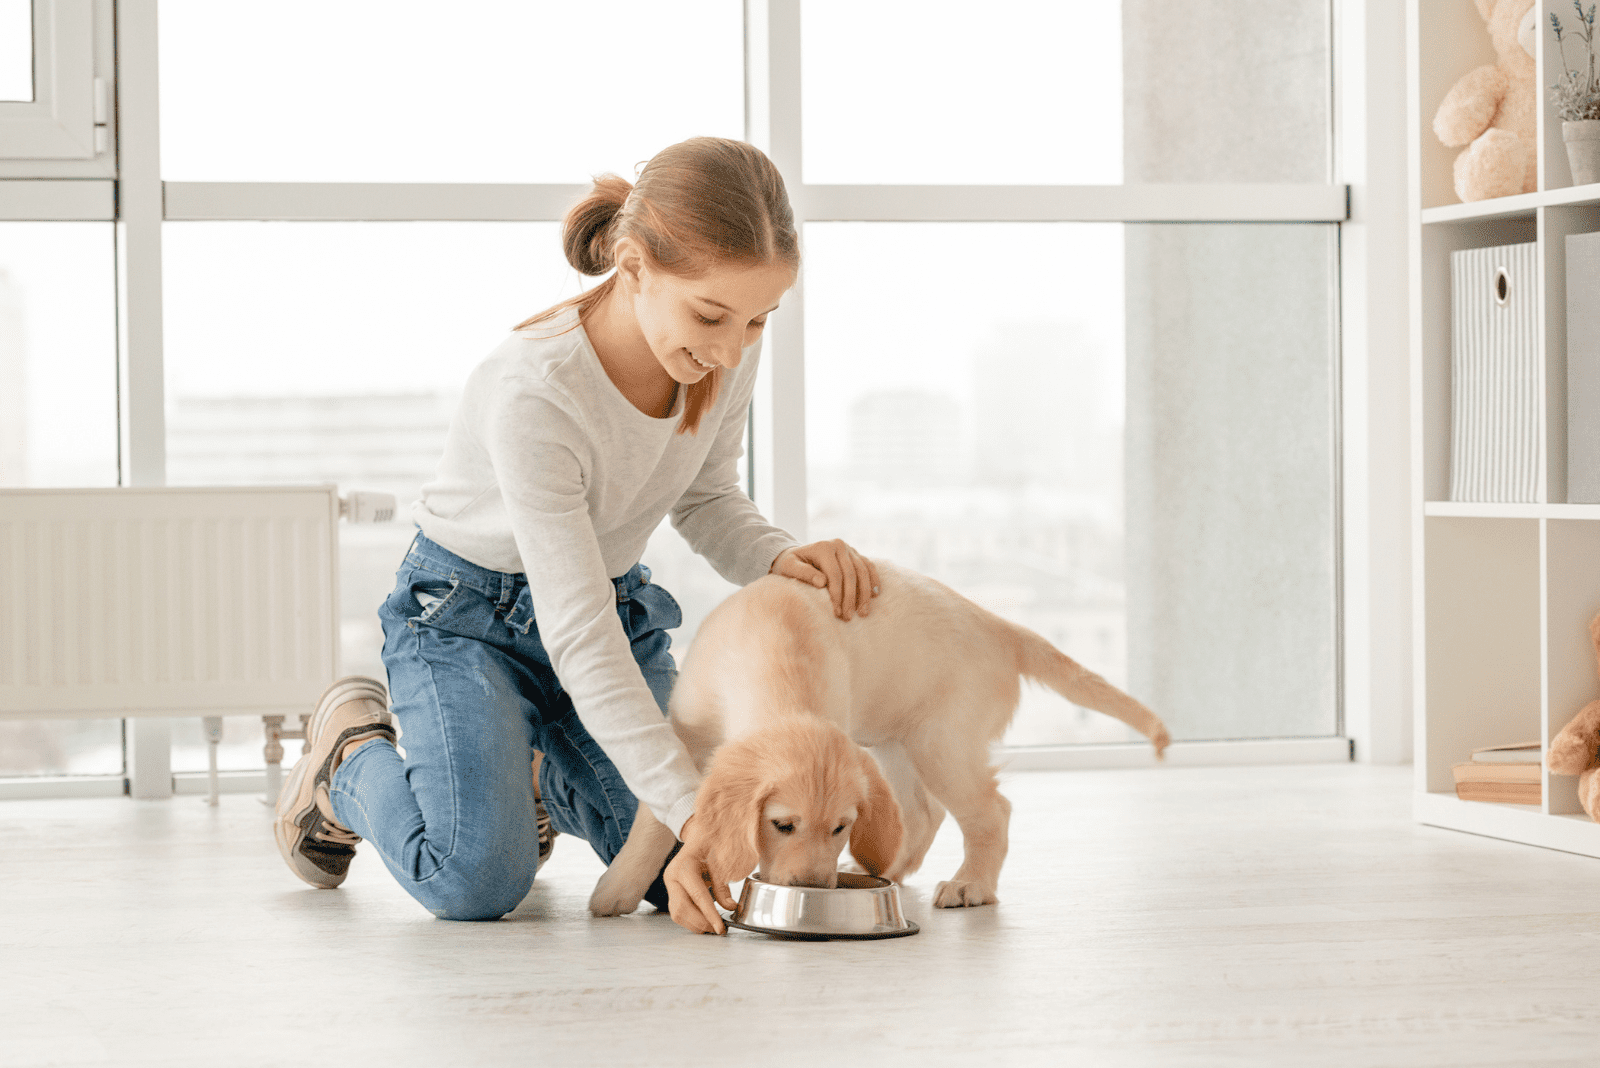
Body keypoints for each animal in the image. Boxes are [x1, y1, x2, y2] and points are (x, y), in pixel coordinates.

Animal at [582, 559, 1171, 927]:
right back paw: (890, 868)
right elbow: (654, 820)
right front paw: (619, 888)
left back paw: (971, 885)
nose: (814, 888)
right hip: (897, 740)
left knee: (990, 812)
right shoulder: (682, 730)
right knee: (923, 813)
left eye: (841, 827)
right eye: (782, 825)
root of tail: (999, 626)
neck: (774, 656)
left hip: (940, 742)